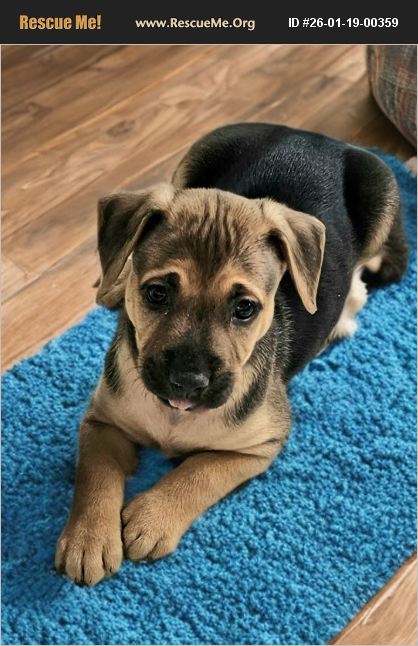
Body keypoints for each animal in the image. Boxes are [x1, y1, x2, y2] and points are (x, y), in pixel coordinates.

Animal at [55, 123, 407, 585]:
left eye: (245, 308)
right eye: (156, 294)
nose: (188, 383)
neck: (174, 415)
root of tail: (314, 137)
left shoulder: (258, 446)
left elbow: (200, 471)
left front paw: (152, 518)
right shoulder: (102, 420)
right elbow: (95, 472)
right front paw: (89, 538)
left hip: (381, 191)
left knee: (360, 279)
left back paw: (341, 318)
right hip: (195, 157)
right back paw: (110, 285)